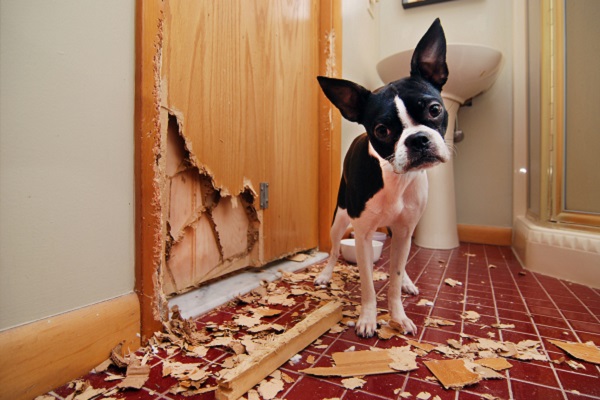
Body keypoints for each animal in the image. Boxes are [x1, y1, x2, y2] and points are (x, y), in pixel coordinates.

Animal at [314, 19, 450, 338]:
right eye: (382, 130)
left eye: (434, 110)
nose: (418, 139)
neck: (395, 180)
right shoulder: (362, 235)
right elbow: (367, 286)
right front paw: (368, 318)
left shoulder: (403, 231)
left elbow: (395, 278)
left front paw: (398, 316)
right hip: (339, 220)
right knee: (334, 249)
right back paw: (326, 274)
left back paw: (409, 282)